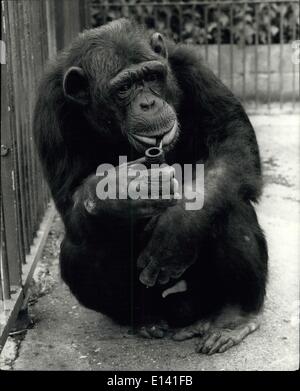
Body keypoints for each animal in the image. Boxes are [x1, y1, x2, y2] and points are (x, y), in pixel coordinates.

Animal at [34, 18, 268, 356]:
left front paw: (180, 224)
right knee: (84, 245)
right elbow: (69, 198)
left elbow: (231, 140)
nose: (148, 103)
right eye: (124, 88)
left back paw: (234, 316)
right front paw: (118, 194)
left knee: (229, 203)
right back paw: (144, 318)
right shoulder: (49, 109)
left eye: (152, 77)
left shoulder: (192, 66)